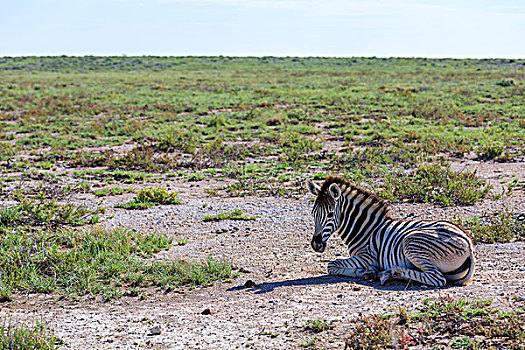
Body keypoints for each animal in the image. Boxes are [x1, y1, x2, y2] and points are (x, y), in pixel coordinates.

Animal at [304, 176, 472, 286]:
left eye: (330, 214)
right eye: (313, 213)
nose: (316, 245)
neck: (365, 229)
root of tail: (468, 243)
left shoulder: (367, 256)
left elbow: (332, 265)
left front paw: (365, 271)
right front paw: (367, 272)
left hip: (412, 243)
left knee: (437, 278)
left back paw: (391, 273)